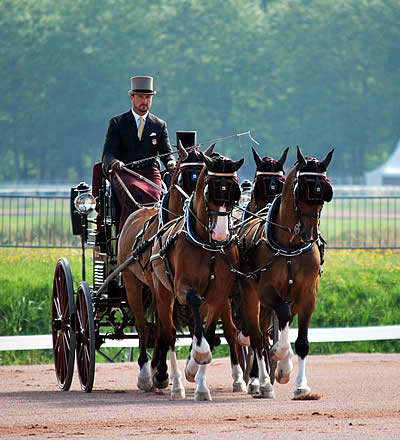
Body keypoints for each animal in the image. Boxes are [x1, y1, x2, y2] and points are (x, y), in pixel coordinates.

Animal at [117, 141, 214, 392]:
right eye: (183, 177)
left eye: (203, 177)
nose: (194, 205)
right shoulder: (162, 288)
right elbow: (162, 327)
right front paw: (159, 372)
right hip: (132, 284)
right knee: (142, 326)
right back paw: (145, 371)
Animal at [149, 153, 244, 400]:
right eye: (210, 190)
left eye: (234, 191)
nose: (221, 234)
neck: (207, 246)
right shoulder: (182, 288)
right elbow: (193, 303)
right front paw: (197, 358)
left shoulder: (220, 295)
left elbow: (208, 334)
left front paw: (200, 382)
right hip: (163, 294)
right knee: (168, 335)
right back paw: (174, 384)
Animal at [239, 146, 332, 398]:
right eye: (301, 190)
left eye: (323, 193)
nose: (310, 234)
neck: (290, 246)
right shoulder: (267, 292)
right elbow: (279, 322)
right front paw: (281, 361)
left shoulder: (308, 296)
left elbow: (301, 342)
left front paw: (301, 385)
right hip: (251, 296)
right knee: (257, 337)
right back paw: (261, 382)